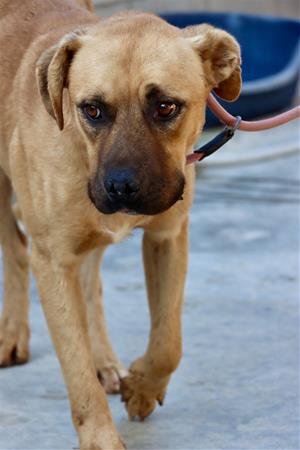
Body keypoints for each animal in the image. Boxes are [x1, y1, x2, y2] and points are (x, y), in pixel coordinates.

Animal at [0, 1, 240, 448]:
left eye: (166, 106)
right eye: (91, 109)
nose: (122, 188)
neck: (81, 150)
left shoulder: (168, 235)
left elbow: (168, 340)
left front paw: (143, 386)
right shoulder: (52, 261)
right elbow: (76, 372)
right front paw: (100, 438)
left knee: (90, 280)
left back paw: (104, 359)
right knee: (15, 250)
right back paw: (13, 333)